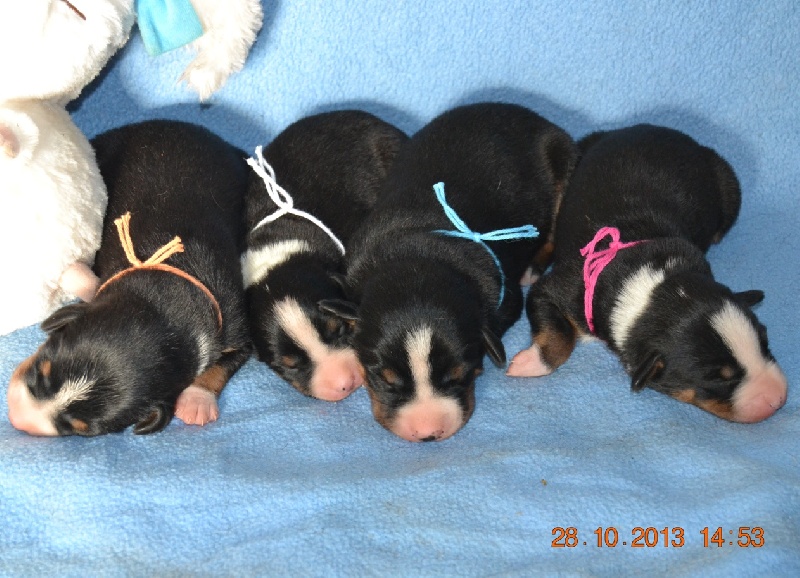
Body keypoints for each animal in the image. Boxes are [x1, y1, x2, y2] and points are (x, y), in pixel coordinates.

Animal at [6, 122, 250, 436]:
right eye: (42, 369)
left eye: (80, 429)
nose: (17, 417)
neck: (172, 300)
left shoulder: (236, 324)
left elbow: (223, 364)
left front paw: (197, 401)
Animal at [510, 124, 784, 420]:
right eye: (717, 378)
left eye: (765, 342)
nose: (778, 399)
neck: (652, 285)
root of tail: (650, 127)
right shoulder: (561, 289)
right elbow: (558, 333)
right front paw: (530, 363)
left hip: (727, 181)